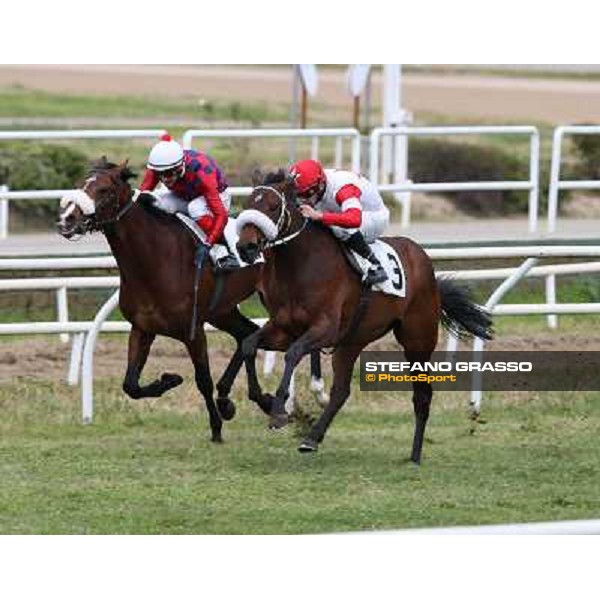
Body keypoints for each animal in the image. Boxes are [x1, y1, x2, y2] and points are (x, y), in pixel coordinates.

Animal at [56, 158, 322, 443]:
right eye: (82, 184)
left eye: (104, 189)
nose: (66, 219)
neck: (152, 260)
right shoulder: (142, 328)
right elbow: (130, 385)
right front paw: (169, 380)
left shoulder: (192, 330)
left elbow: (202, 379)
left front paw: (216, 427)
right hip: (222, 311)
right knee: (246, 334)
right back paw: (251, 399)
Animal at [236, 170, 493, 464]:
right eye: (248, 203)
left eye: (272, 206)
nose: (245, 247)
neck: (301, 265)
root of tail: (424, 262)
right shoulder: (283, 328)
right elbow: (248, 344)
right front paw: (262, 398)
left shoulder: (324, 329)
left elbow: (293, 354)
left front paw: (278, 410)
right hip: (352, 341)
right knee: (341, 391)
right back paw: (312, 439)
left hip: (417, 341)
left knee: (422, 395)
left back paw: (415, 455)